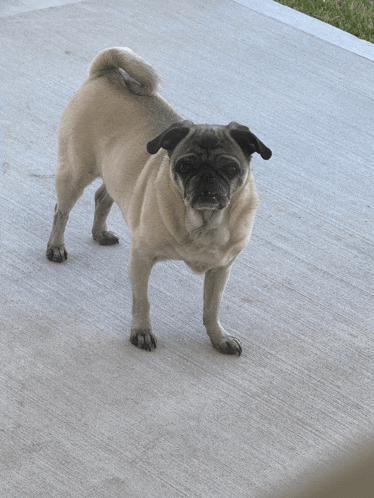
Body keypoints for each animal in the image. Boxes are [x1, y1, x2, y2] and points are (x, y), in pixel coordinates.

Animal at [46, 47, 272, 354]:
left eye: (230, 168)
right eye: (184, 167)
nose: (206, 178)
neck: (204, 223)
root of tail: (107, 71)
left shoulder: (220, 270)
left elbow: (211, 308)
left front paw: (218, 337)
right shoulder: (141, 258)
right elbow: (143, 301)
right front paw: (141, 332)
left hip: (114, 173)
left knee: (102, 197)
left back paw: (99, 232)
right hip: (75, 173)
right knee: (61, 211)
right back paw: (56, 247)